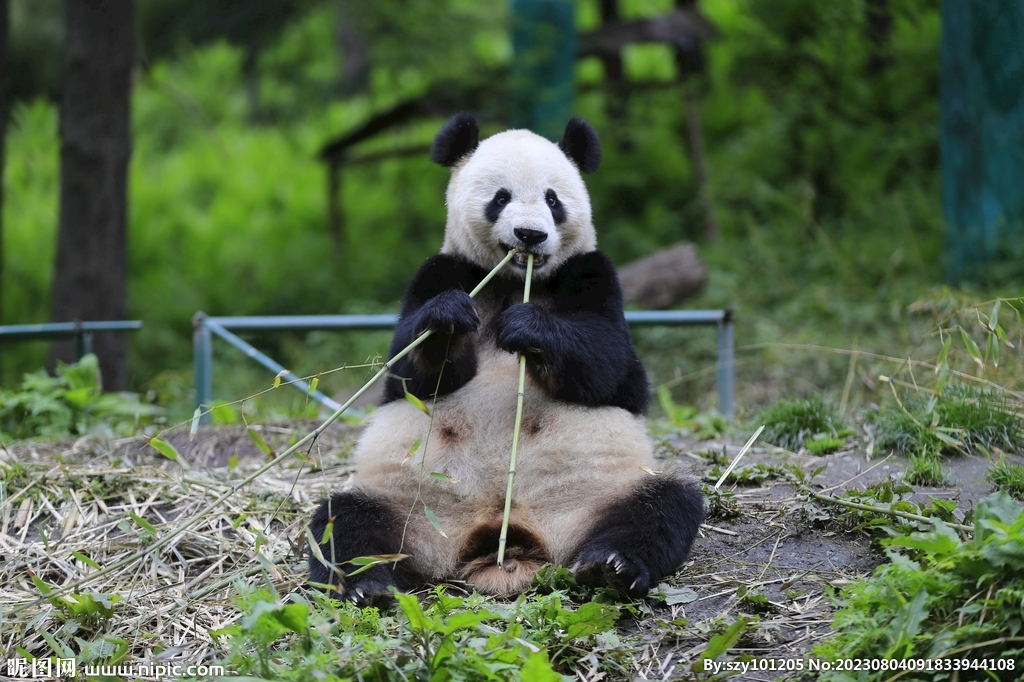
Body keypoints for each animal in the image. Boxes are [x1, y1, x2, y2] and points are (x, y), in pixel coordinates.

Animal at [307, 114, 704, 602]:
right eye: (501, 198)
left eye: (553, 200)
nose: (530, 235)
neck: (515, 281)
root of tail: (500, 539)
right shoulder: (443, 269)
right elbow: (407, 373)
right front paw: (447, 318)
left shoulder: (592, 274)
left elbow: (612, 365)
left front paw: (528, 329)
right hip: (408, 503)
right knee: (342, 522)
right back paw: (367, 585)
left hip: (598, 493)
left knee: (663, 506)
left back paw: (610, 566)